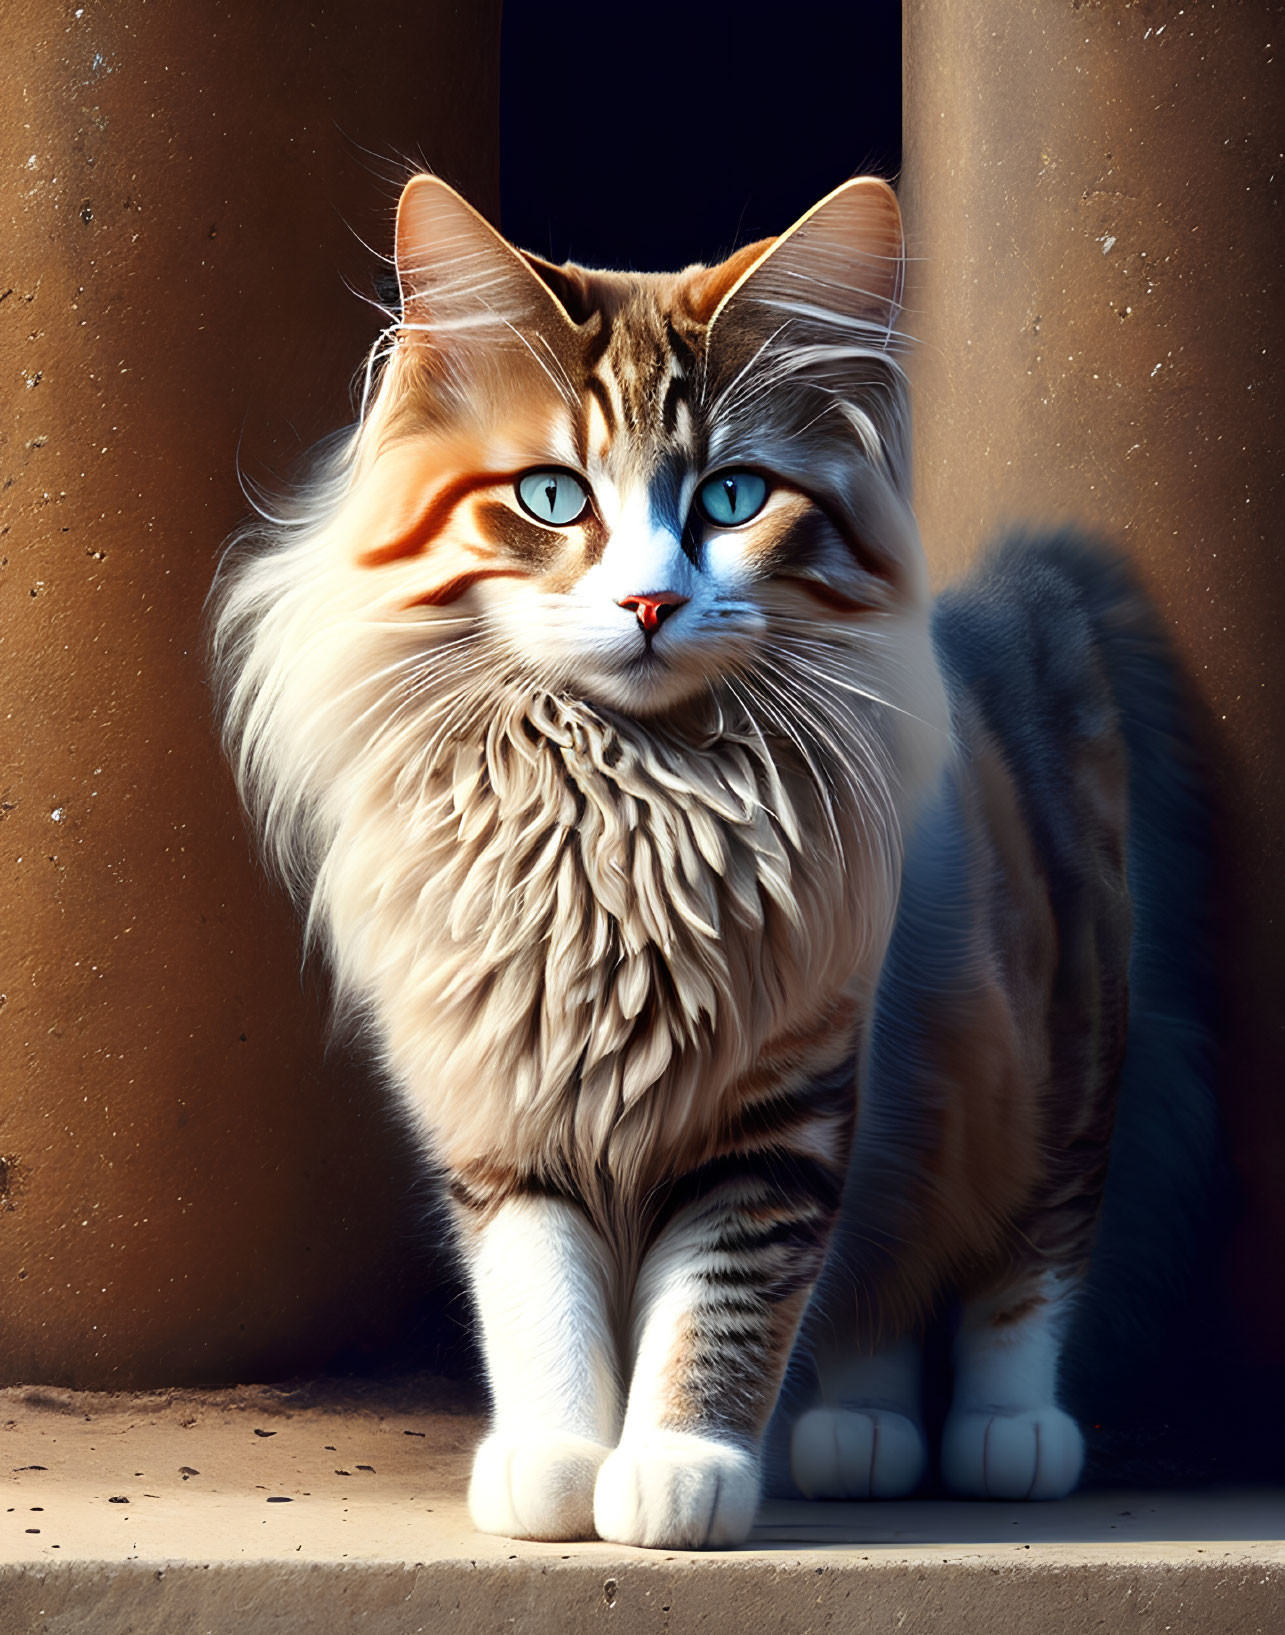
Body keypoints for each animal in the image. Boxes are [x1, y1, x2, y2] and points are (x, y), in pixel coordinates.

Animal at [210, 175, 1209, 1543]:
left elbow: (719, 1309)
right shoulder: (504, 1107)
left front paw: (682, 1473)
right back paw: (862, 1435)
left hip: (1062, 1059)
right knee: (880, 1298)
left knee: (1025, 1269)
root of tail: (997, 619)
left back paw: (1008, 1437)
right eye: (552, 497)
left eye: (732, 500)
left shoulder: (781, 1110)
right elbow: (541, 1305)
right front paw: (556, 1468)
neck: (620, 813)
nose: (648, 603)